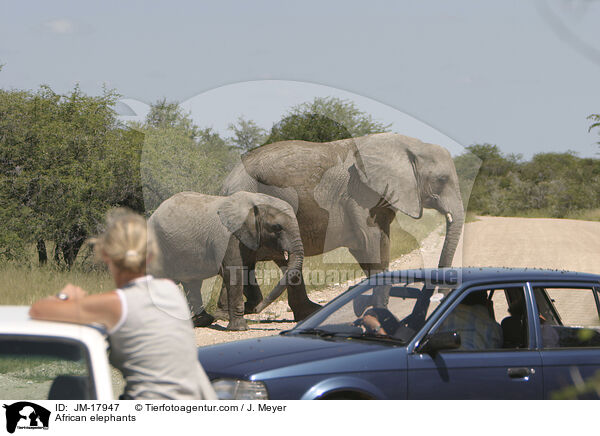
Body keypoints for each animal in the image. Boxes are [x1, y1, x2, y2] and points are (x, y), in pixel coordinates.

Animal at [149, 191, 316, 330]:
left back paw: (202, 321)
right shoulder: (229, 238)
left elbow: (247, 271)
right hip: (159, 244)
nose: (257, 310)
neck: (254, 202)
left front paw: (248, 308)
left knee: (192, 282)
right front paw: (239, 328)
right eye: (277, 227)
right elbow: (234, 273)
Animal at [220, 133, 464, 306]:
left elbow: (379, 245)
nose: (441, 293)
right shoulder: (358, 195)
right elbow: (369, 243)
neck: (409, 145)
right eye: (442, 180)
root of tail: (227, 181)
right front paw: (380, 309)